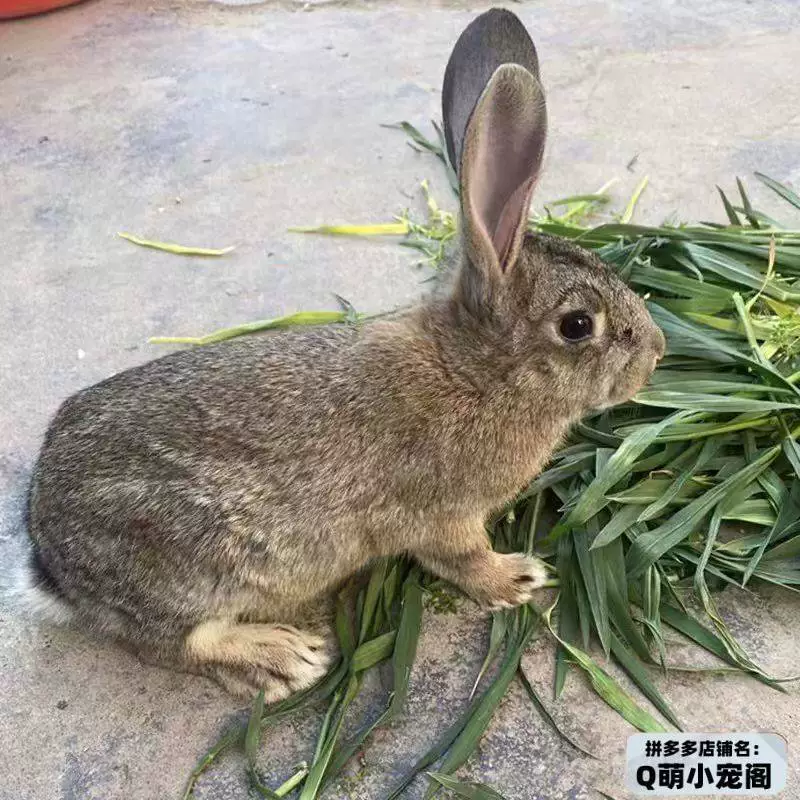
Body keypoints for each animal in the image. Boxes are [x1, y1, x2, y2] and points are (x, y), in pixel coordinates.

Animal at [15, 7, 665, 700]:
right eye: (578, 325)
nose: (657, 352)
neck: (477, 372)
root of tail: (50, 561)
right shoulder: (443, 516)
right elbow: (461, 557)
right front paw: (516, 577)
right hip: (185, 563)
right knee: (166, 643)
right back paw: (281, 658)